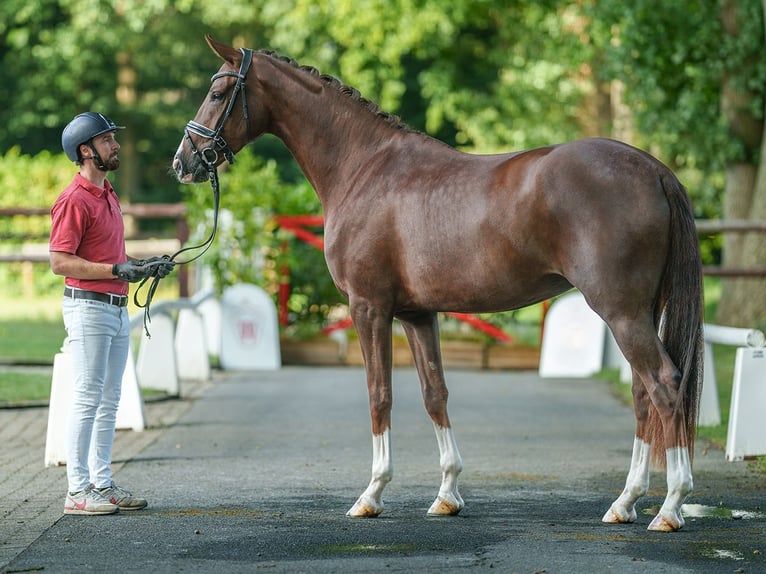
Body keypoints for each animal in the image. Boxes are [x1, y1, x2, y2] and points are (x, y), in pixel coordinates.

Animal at [172, 37, 704, 536]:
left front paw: (372, 494)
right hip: (637, 312)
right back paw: (625, 503)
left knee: (664, 384)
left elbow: (379, 393)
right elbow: (435, 393)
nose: (183, 162)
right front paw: (448, 494)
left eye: (217, 92)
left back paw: (671, 506)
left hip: (621, 312)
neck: (364, 168)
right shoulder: (416, 313)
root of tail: (654, 169)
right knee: (643, 393)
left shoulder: (368, 307)